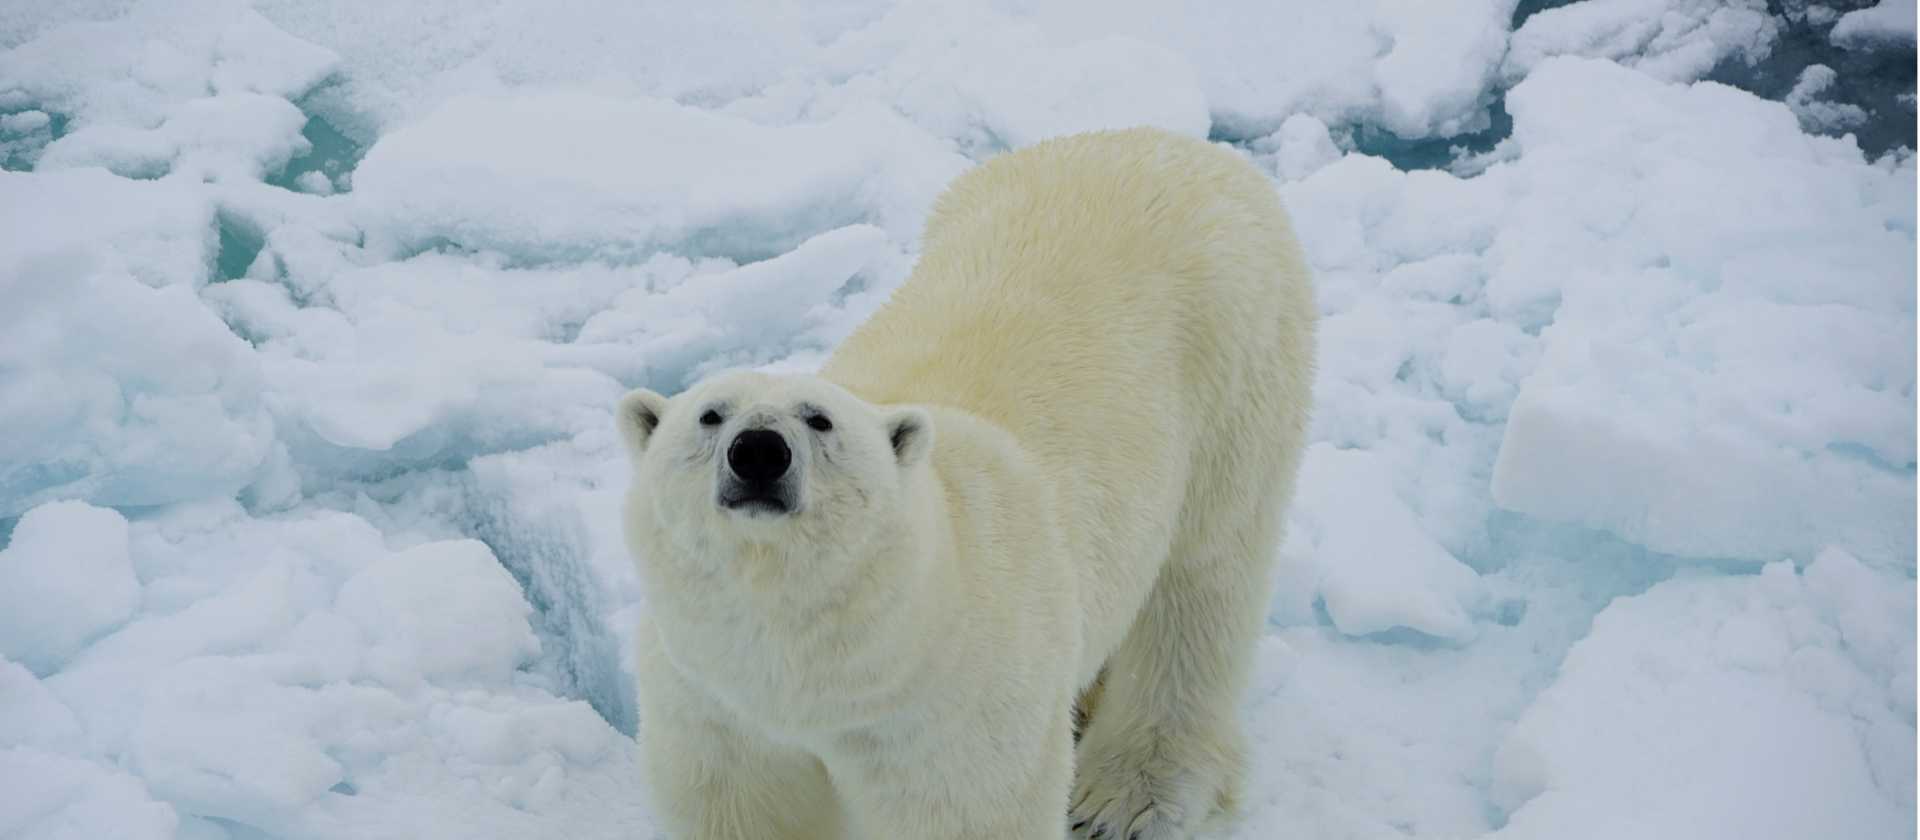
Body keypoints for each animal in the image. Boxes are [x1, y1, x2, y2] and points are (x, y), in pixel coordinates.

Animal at [616, 126, 1316, 840]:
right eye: (711, 414)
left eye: (819, 419)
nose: (758, 452)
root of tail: (1178, 143)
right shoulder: (714, 700)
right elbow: (743, 805)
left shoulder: (958, 703)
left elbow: (969, 810)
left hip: (1236, 368)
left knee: (1201, 582)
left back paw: (1129, 797)